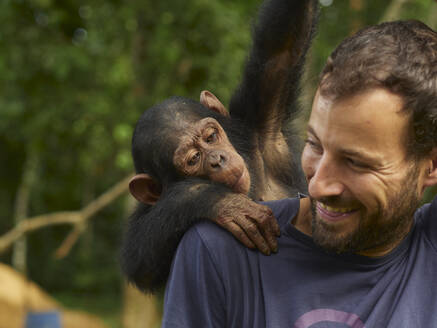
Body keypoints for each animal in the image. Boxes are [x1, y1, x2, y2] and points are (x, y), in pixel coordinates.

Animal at [121, 0, 318, 292]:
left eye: (211, 137)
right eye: (193, 159)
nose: (217, 159)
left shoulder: (258, 118)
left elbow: (282, 46)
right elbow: (139, 257)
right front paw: (217, 201)